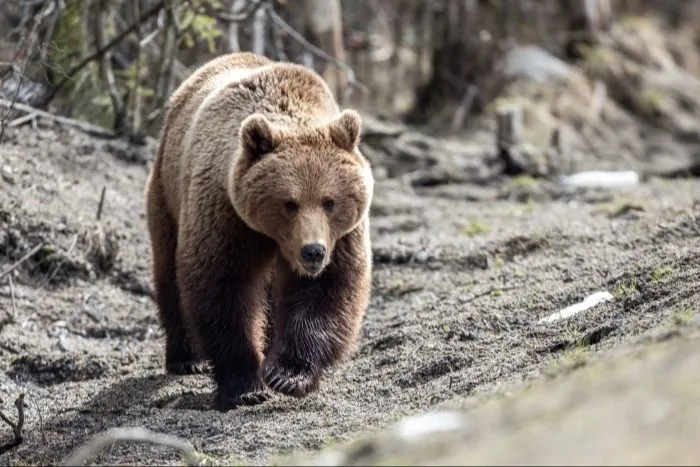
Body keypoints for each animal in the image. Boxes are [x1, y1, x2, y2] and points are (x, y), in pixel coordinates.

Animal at [144, 52, 374, 414]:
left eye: (329, 202)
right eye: (290, 203)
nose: (313, 251)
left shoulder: (342, 237)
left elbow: (327, 289)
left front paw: (287, 374)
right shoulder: (226, 216)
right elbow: (223, 288)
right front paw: (245, 386)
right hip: (167, 192)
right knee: (168, 271)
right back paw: (185, 358)